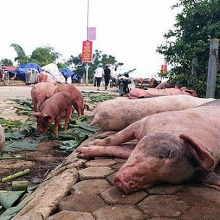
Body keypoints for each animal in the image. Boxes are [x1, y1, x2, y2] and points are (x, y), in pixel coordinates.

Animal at [78, 99, 220, 194]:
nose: (124, 184)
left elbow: (118, 149)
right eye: (168, 153)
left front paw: (82, 151)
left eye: (164, 181)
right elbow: (113, 139)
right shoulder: (143, 122)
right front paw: (82, 150)